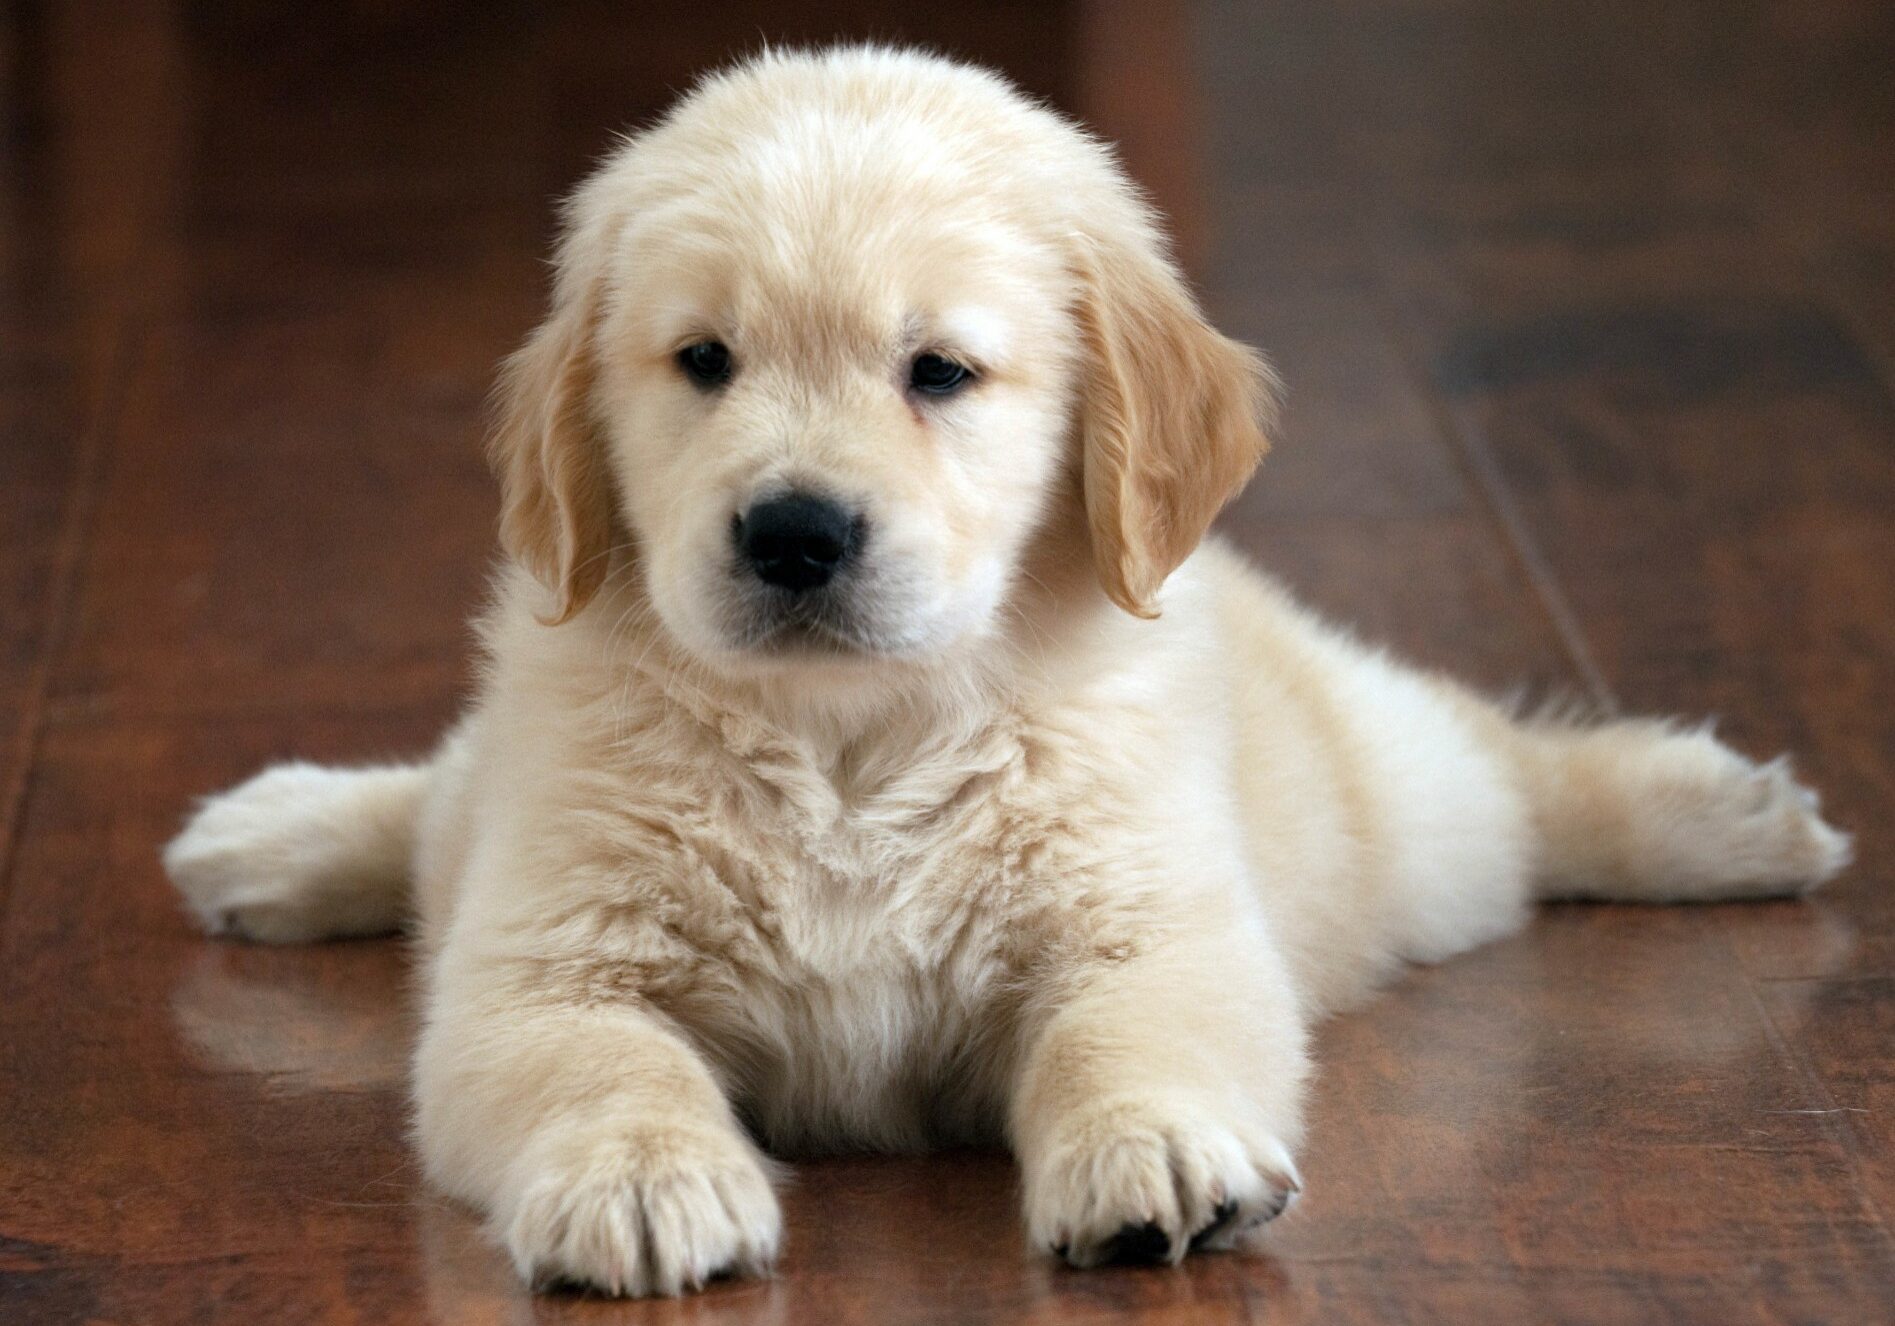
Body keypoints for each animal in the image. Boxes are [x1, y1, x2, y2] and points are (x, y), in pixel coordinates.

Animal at [162, 46, 1849, 1303]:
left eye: (940, 372)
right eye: (702, 362)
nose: (791, 533)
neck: (848, 742)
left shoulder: (1149, 918)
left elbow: (1128, 1028)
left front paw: (1151, 1149)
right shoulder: (538, 958)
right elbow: (599, 1061)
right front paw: (642, 1179)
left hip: (1398, 823)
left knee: (1496, 765)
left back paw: (1722, 814)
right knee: (436, 799)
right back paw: (273, 835)